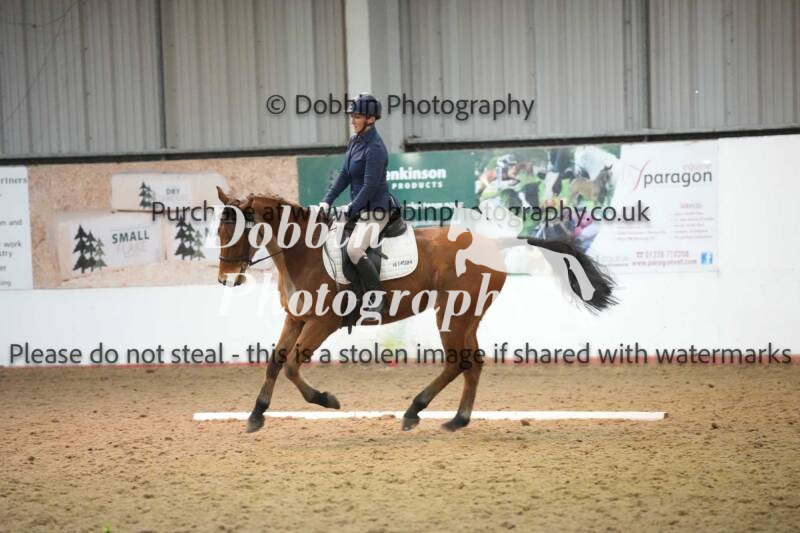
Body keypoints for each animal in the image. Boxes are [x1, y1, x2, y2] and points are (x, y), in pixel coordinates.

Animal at [215, 187, 616, 433]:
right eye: (218, 232)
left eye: (235, 232)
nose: (225, 280)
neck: (305, 254)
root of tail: (494, 243)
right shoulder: (295, 318)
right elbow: (275, 362)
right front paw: (256, 415)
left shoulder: (322, 322)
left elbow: (292, 367)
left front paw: (326, 400)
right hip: (464, 317)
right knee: (473, 362)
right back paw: (456, 420)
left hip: (452, 315)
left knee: (458, 362)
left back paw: (415, 411)